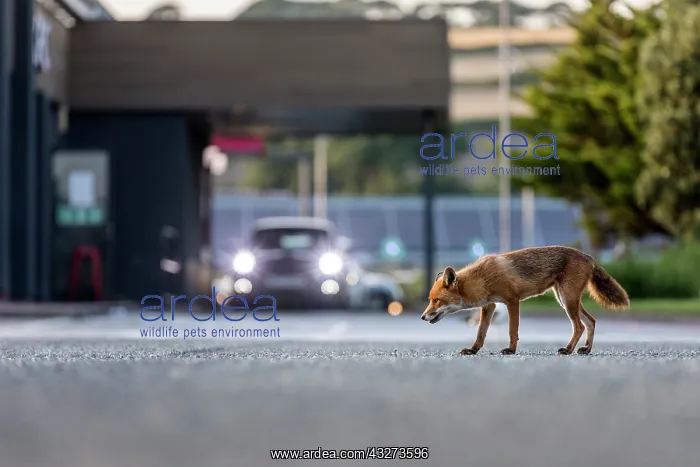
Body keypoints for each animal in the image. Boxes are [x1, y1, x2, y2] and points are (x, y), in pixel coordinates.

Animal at [420, 245, 630, 356]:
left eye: (436, 300)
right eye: (430, 300)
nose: (422, 317)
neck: (482, 278)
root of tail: (586, 255)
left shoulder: (512, 300)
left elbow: (512, 331)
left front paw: (511, 350)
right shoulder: (490, 305)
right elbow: (481, 332)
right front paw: (473, 350)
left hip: (567, 300)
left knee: (579, 326)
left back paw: (568, 349)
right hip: (566, 300)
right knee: (591, 322)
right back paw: (585, 349)